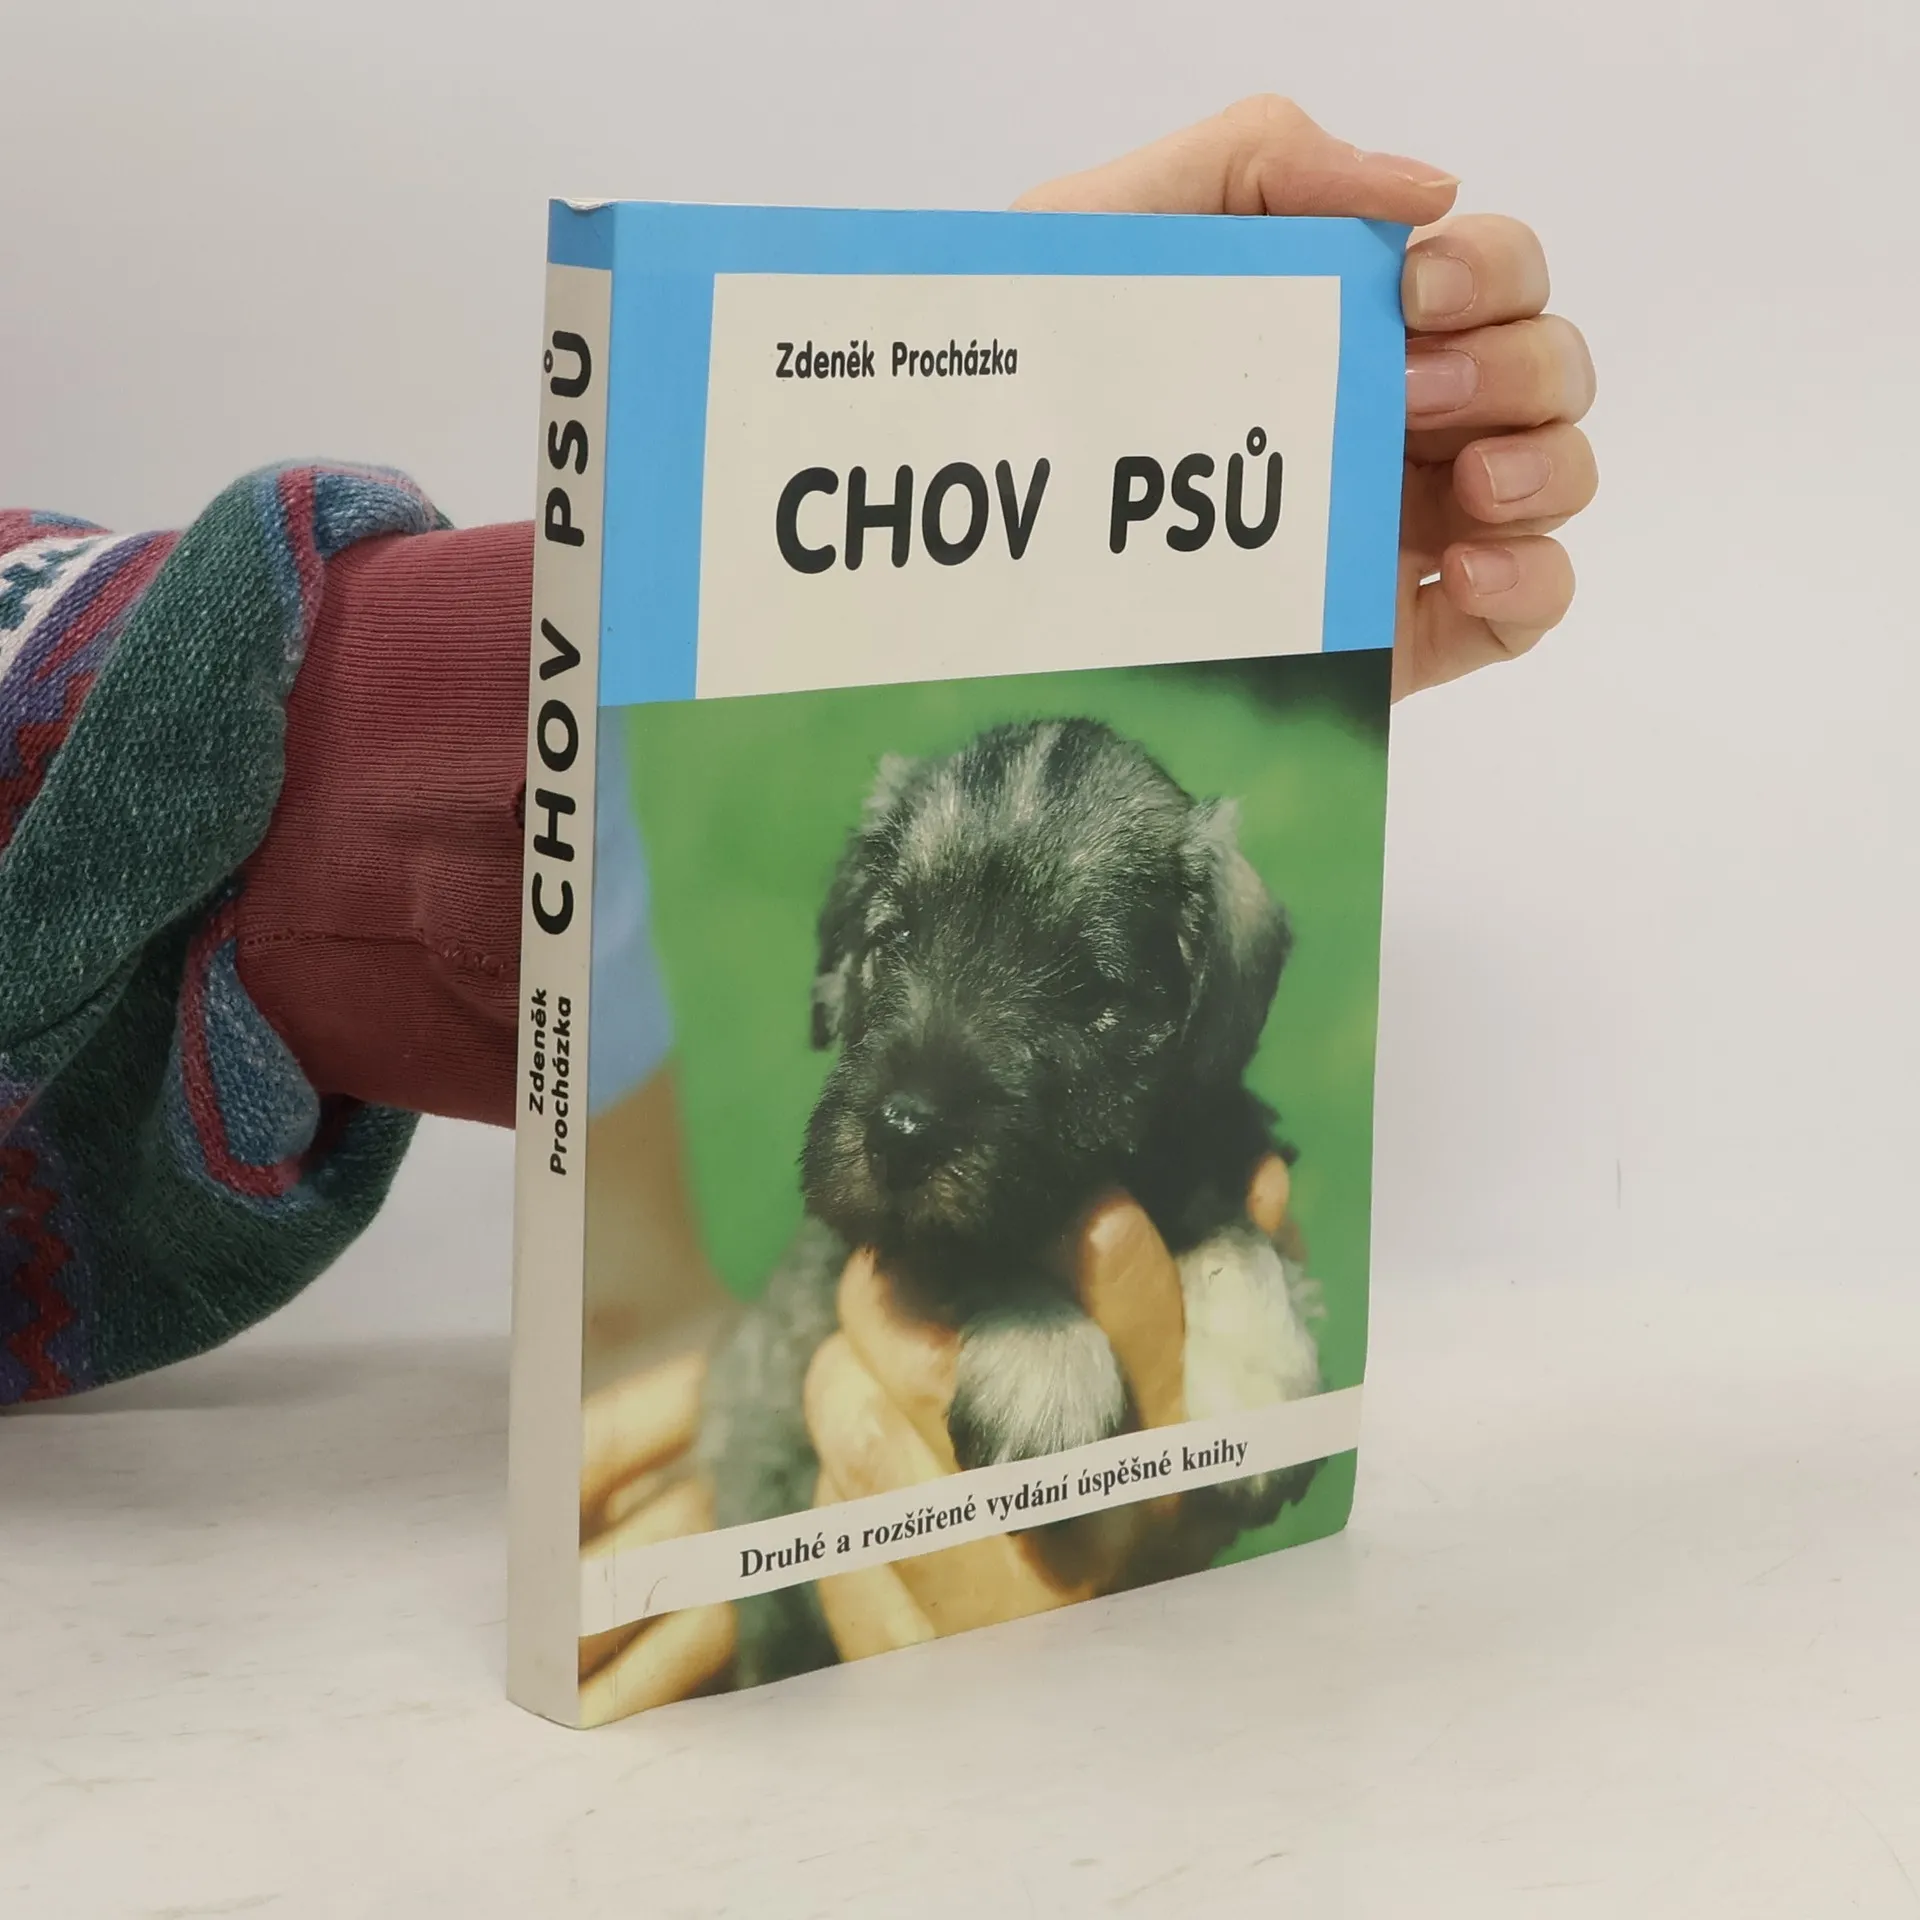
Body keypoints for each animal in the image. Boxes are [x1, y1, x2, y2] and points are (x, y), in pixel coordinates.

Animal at [697, 717, 1326, 1686]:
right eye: (894, 935)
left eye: (1089, 987)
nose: (902, 1133)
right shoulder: (878, 1239)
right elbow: (982, 1252)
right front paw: (1047, 1366)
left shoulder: (1221, 1150)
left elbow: (1239, 1243)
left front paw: (1259, 1385)